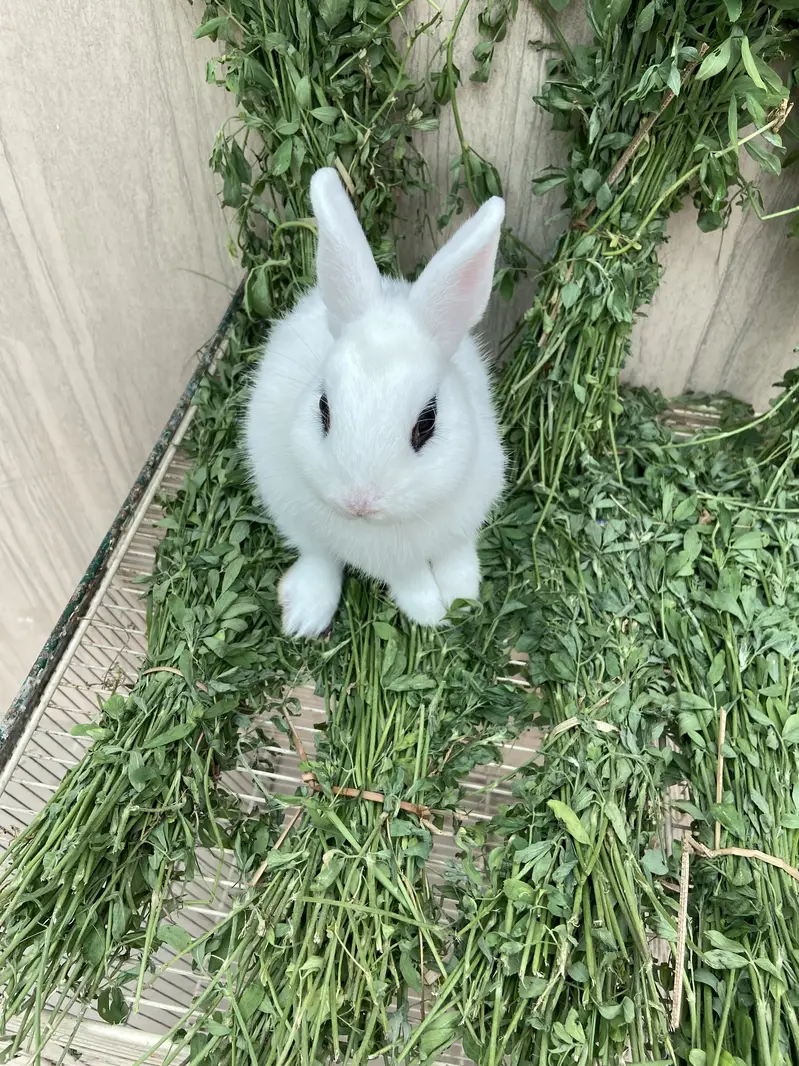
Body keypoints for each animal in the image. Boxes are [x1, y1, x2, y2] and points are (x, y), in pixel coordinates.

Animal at [244, 167, 506, 638]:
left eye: (427, 423)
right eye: (323, 409)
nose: (359, 503)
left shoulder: (464, 524)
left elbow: (457, 560)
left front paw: (463, 597)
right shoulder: (389, 560)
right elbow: (410, 580)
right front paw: (433, 613)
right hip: (284, 501)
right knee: (318, 555)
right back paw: (304, 616)